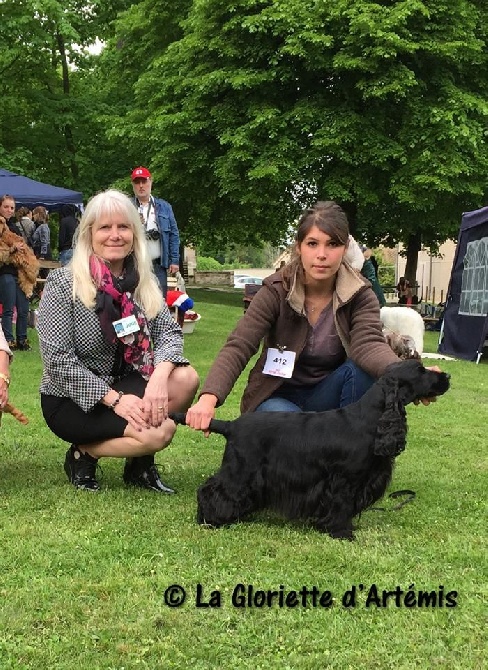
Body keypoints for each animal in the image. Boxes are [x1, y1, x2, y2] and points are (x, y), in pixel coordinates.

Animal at [172, 362, 450, 540]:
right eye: (421, 371)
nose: (446, 376)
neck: (372, 418)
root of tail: (231, 425)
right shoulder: (344, 480)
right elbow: (341, 505)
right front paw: (342, 532)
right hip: (241, 469)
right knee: (211, 489)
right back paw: (210, 519)